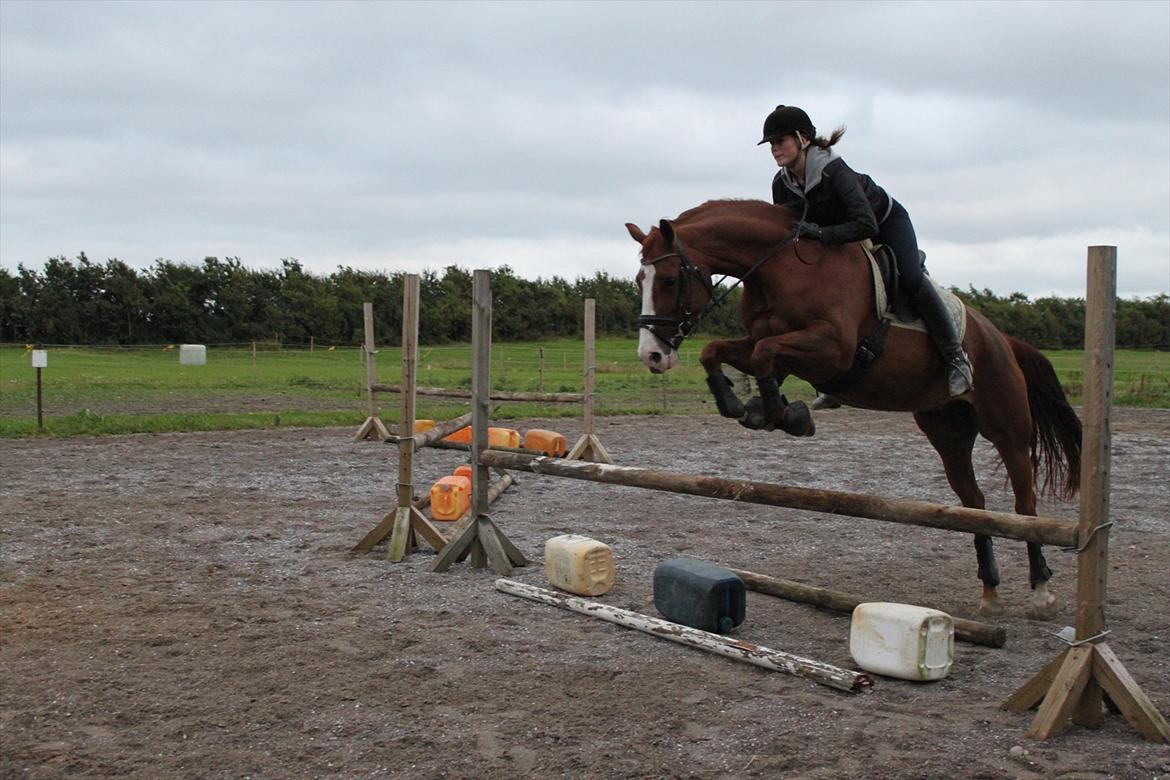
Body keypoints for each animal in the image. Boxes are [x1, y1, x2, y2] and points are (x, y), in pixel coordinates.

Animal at [627, 198, 1081, 617]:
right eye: (637, 281)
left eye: (669, 279)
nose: (652, 356)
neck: (782, 269)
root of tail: (1003, 338)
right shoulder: (771, 341)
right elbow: (725, 351)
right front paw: (747, 406)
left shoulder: (833, 350)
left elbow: (764, 353)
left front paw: (786, 416)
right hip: (946, 431)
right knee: (975, 503)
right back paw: (989, 591)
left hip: (1006, 426)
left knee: (1024, 504)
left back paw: (1041, 589)